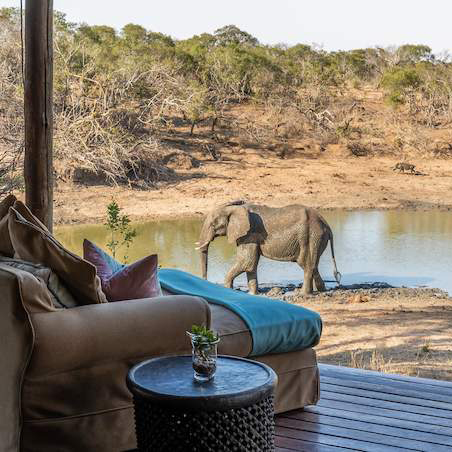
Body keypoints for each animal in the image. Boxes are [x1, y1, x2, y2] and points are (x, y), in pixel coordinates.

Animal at [196, 201, 340, 296]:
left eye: (213, 224)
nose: (204, 281)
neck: (234, 209)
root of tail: (326, 224)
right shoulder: (248, 236)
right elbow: (250, 265)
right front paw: (253, 294)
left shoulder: (249, 234)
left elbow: (246, 262)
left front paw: (228, 290)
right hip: (315, 238)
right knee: (312, 265)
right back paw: (321, 291)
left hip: (311, 236)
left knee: (307, 264)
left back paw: (302, 294)